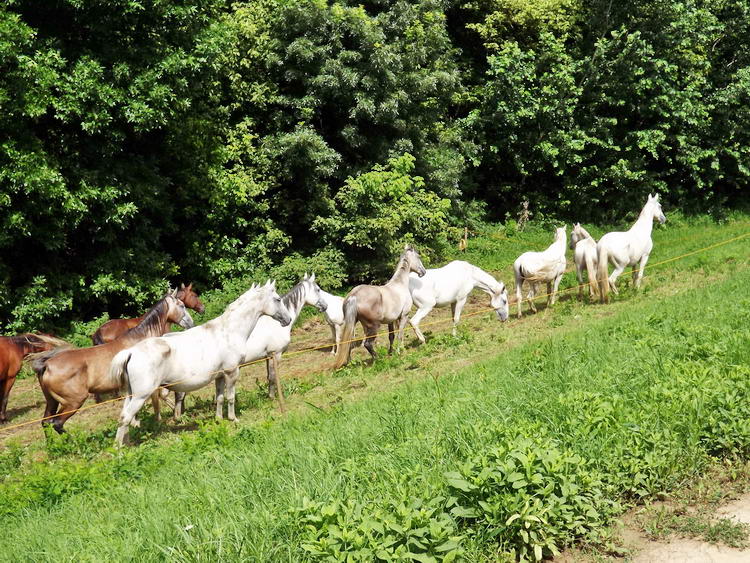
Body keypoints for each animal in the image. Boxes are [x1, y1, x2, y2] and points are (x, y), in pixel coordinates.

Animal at [29, 294, 194, 434]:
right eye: (181, 305)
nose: (191, 323)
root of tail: (47, 365)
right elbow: (157, 400)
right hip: (73, 402)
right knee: (57, 423)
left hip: (52, 401)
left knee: (46, 422)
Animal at [110, 282, 292, 446]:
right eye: (277, 299)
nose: (288, 319)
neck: (229, 331)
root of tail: (131, 352)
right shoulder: (232, 372)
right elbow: (231, 397)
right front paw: (233, 419)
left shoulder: (219, 376)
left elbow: (219, 398)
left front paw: (219, 419)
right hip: (141, 395)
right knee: (126, 417)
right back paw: (119, 451)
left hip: (131, 395)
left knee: (123, 417)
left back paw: (124, 444)